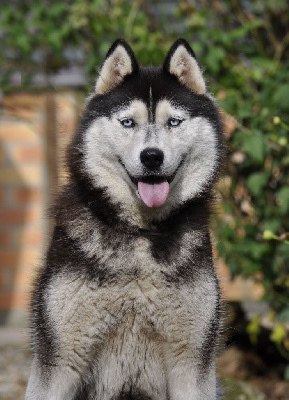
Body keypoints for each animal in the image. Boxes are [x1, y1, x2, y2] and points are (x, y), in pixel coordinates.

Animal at [25, 38, 223, 400]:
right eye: (128, 122)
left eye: (174, 122)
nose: (152, 156)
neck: (141, 235)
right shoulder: (60, 360)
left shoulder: (191, 362)